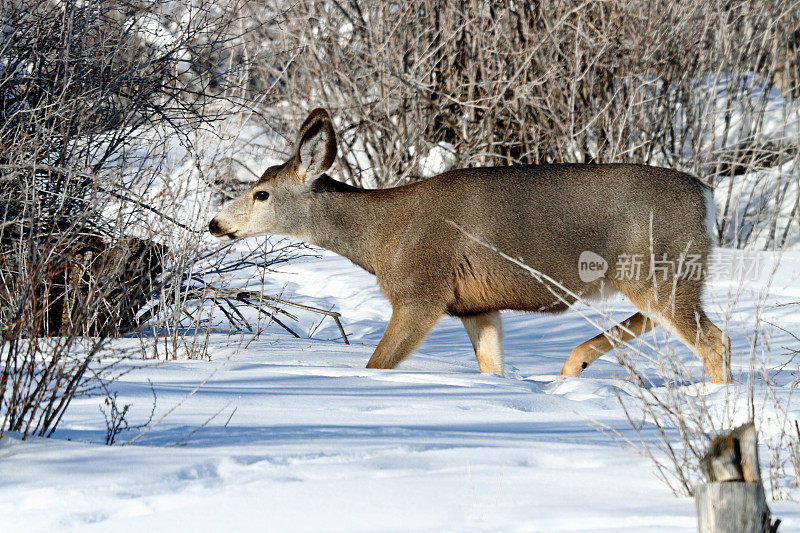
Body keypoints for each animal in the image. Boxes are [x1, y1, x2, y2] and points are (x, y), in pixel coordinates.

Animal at [211, 108, 732, 382]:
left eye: (262, 193)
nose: (216, 223)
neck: (382, 238)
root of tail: (706, 197)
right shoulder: (476, 306)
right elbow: (491, 368)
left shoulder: (421, 291)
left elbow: (377, 364)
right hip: (658, 274)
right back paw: (573, 365)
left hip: (658, 267)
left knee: (714, 339)